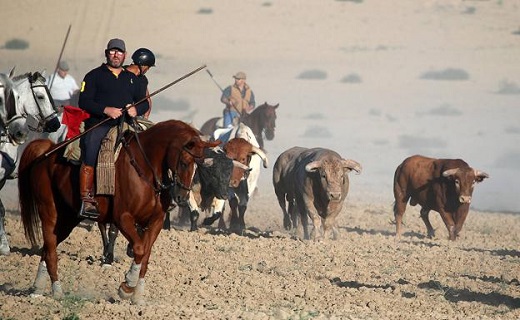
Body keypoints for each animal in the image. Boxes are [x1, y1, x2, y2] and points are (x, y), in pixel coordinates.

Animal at [18, 119, 219, 304]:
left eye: (199, 165)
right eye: (184, 162)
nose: (182, 197)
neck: (144, 169)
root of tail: (47, 151)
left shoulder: (155, 222)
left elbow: (145, 255)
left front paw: (137, 296)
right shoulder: (123, 218)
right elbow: (139, 249)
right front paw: (127, 287)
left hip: (68, 219)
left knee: (47, 248)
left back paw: (37, 288)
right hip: (50, 213)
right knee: (51, 250)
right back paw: (56, 291)